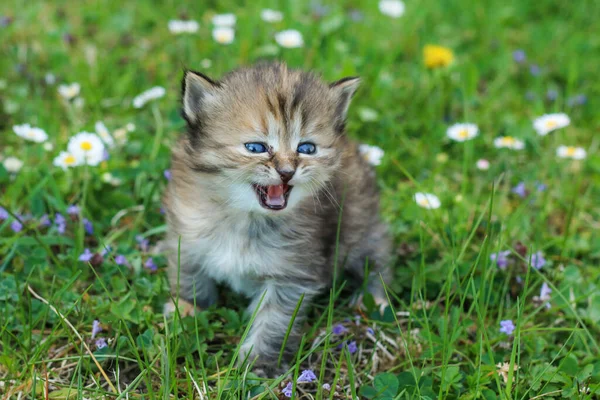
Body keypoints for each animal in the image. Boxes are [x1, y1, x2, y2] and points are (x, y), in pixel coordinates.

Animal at [162, 62, 392, 378]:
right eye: (256, 148)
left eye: (306, 148)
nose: (286, 171)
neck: (246, 217)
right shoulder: (187, 235)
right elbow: (190, 277)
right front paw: (185, 312)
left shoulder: (292, 274)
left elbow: (274, 321)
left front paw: (256, 364)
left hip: (361, 223)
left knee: (376, 256)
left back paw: (374, 298)